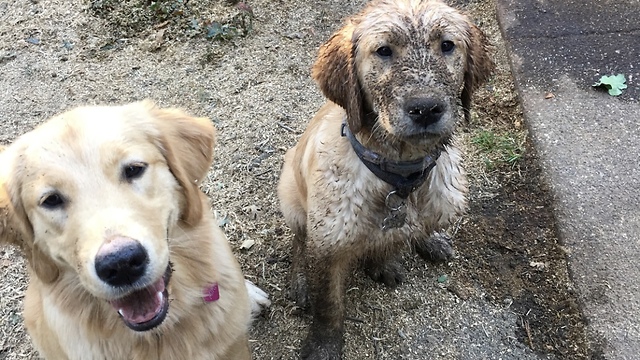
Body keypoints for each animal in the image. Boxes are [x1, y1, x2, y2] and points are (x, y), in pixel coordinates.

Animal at [278, 0, 492, 358]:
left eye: (447, 45)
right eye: (383, 51)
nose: (425, 109)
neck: (400, 175)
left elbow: (398, 237)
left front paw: (387, 258)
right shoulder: (327, 241)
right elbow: (328, 305)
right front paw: (323, 345)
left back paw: (429, 240)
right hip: (290, 195)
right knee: (298, 241)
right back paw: (300, 280)